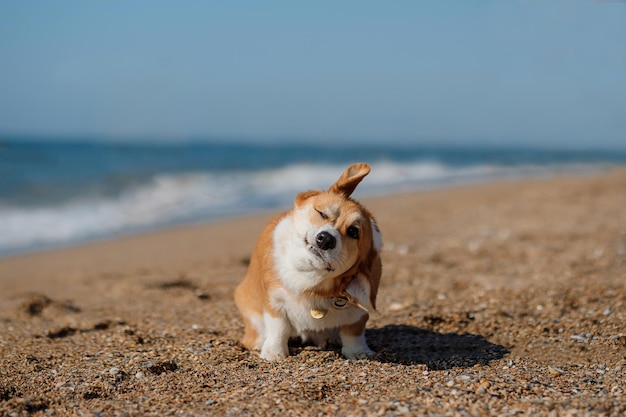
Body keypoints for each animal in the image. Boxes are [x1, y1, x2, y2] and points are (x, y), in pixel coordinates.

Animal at [234, 162, 380, 358]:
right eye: (322, 213)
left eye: (353, 232)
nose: (325, 239)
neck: (312, 280)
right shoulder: (275, 301)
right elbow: (278, 328)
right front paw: (274, 353)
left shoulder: (358, 313)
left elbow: (353, 331)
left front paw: (358, 352)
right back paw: (258, 343)